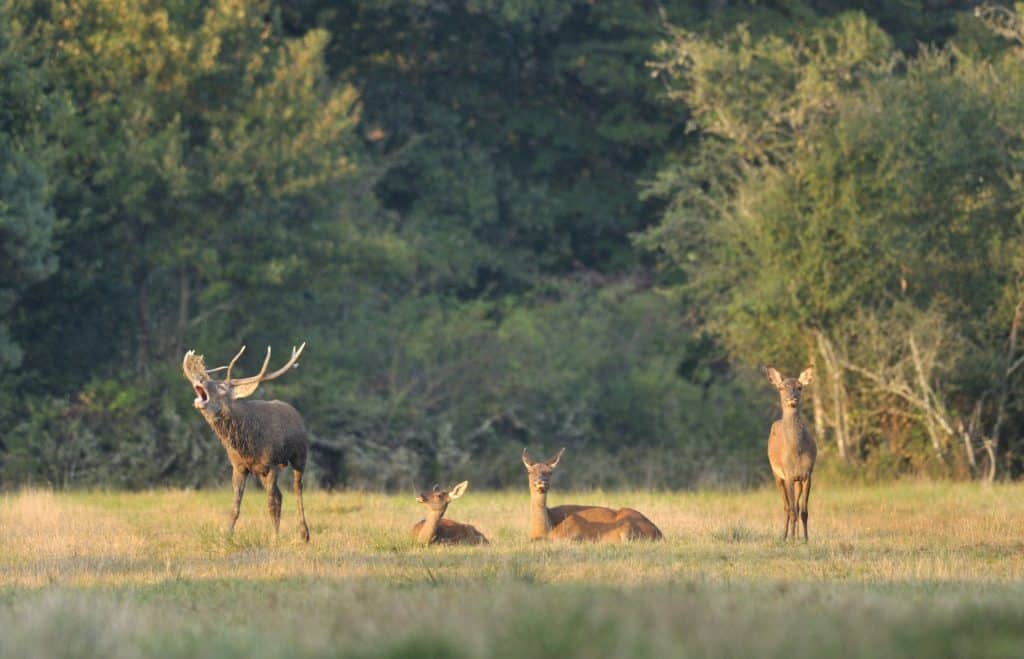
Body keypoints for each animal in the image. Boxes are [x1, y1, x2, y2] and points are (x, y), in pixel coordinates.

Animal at [182, 345, 307, 540]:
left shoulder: (272, 464)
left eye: (222, 387)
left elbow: (271, 505)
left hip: (299, 456)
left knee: (296, 489)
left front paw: (274, 539)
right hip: (264, 472)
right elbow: (235, 507)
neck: (247, 445)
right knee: (280, 495)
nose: (200, 377)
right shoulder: (239, 466)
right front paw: (227, 537)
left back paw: (304, 534)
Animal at [520, 450, 663, 544]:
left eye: (550, 472)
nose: (541, 482)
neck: (543, 530)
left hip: (627, 526)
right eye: (529, 471)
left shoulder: (571, 533)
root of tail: (659, 534)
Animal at [765, 366, 819, 540]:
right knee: (787, 507)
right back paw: (785, 536)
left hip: (797, 481)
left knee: (795, 505)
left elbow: (804, 512)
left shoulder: (807, 474)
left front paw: (806, 539)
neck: (796, 452)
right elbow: (793, 511)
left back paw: (795, 535)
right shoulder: (787, 474)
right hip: (776, 474)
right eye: (781, 388)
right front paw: (792, 539)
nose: (792, 398)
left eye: (800, 387)